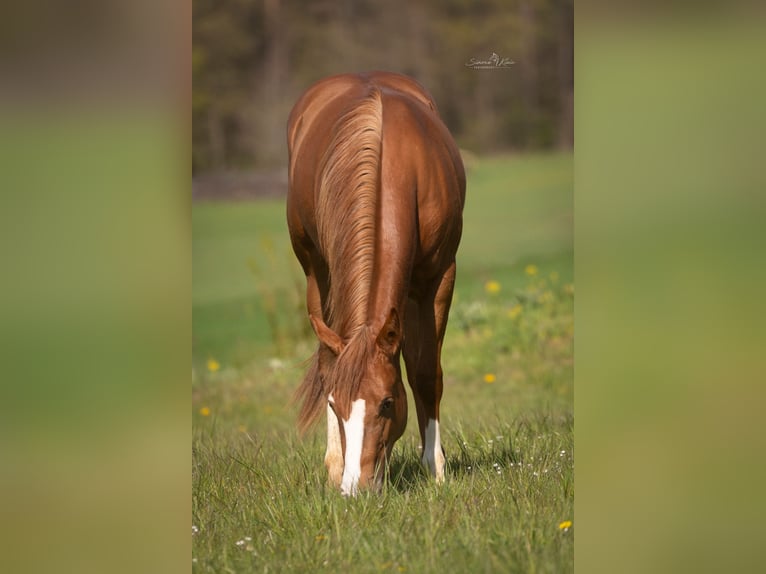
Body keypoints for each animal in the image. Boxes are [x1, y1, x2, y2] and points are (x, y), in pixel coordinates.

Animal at [288, 71, 464, 496]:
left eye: (386, 403)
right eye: (334, 406)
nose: (356, 490)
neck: (395, 170)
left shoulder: (439, 278)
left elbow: (425, 372)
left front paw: (435, 468)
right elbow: (331, 366)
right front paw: (338, 468)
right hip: (315, 272)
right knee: (326, 358)